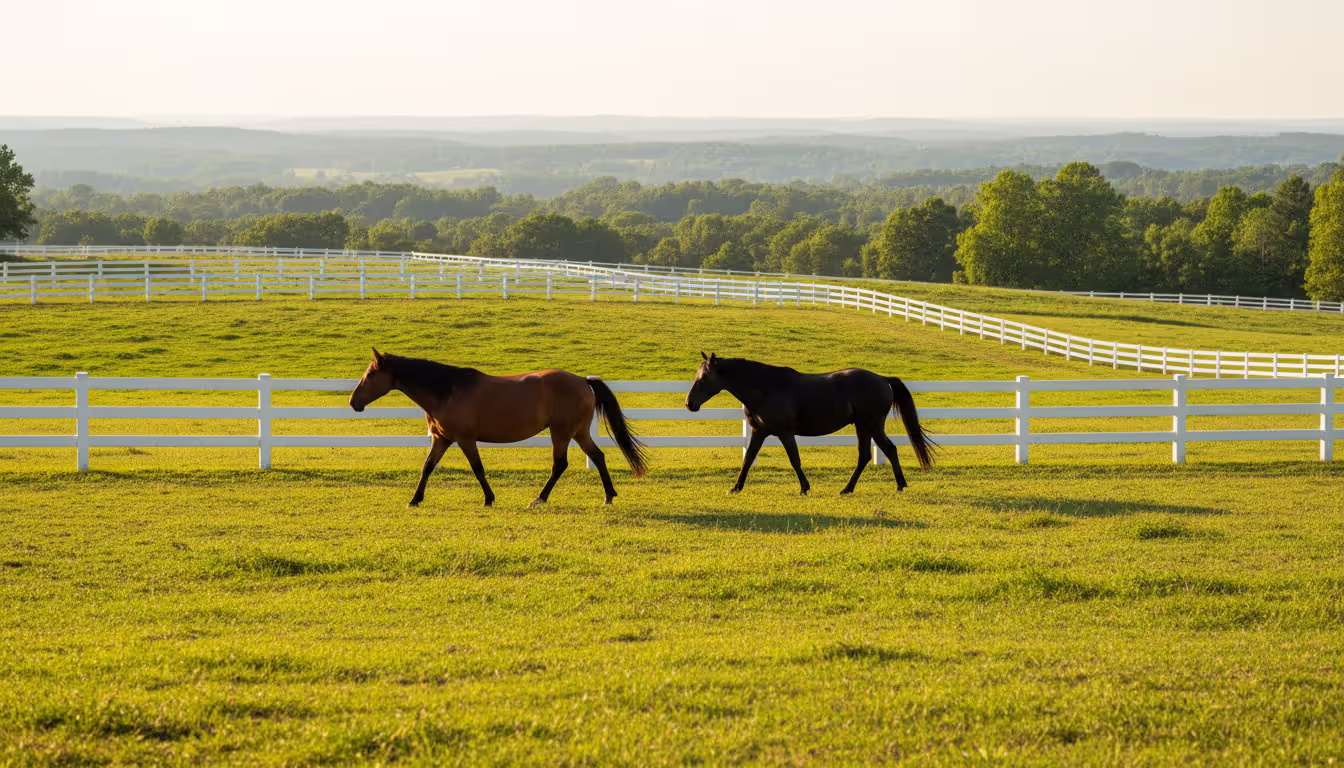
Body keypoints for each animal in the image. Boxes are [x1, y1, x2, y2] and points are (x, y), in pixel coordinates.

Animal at [349, 349, 648, 508]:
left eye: (371, 374)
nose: (353, 402)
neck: (446, 390)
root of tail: (583, 381)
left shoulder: (465, 439)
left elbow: (478, 469)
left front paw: (489, 499)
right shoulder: (441, 439)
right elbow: (427, 467)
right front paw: (414, 499)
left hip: (561, 432)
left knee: (560, 464)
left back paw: (539, 499)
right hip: (579, 432)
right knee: (598, 456)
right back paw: (608, 496)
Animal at [684, 353, 936, 495]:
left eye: (703, 378)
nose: (689, 403)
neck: (765, 388)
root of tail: (883, 379)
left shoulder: (785, 433)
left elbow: (794, 460)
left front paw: (805, 487)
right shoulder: (759, 431)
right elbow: (747, 460)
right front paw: (735, 488)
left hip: (871, 425)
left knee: (888, 450)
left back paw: (898, 486)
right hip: (863, 426)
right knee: (867, 455)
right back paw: (850, 489)